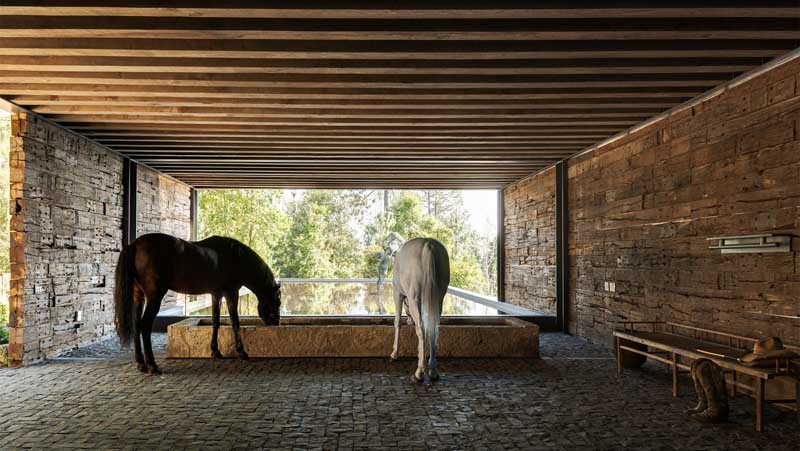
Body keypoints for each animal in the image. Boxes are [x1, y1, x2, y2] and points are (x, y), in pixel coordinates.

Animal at [115, 233, 282, 374]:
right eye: (278, 301)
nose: (276, 322)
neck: (235, 258)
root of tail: (135, 244)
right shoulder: (231, 293)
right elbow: (235, 323)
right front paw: (242, 352)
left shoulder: (216, 294)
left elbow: (216, 322)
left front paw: (215, 351)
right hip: (154, 298)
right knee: (145, 325)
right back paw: (152, 366)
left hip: (138, 297)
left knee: (136, 325)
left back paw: (141, 364)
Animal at [392, 238, 450, 384]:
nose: (409, 319)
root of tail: (428, 244)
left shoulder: (397, 293)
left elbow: (397, 322)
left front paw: (394, 353)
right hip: (438, 299)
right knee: (433, 329)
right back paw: (433, 371)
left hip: (415, 298)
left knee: (421, 330)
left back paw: (419, 372)